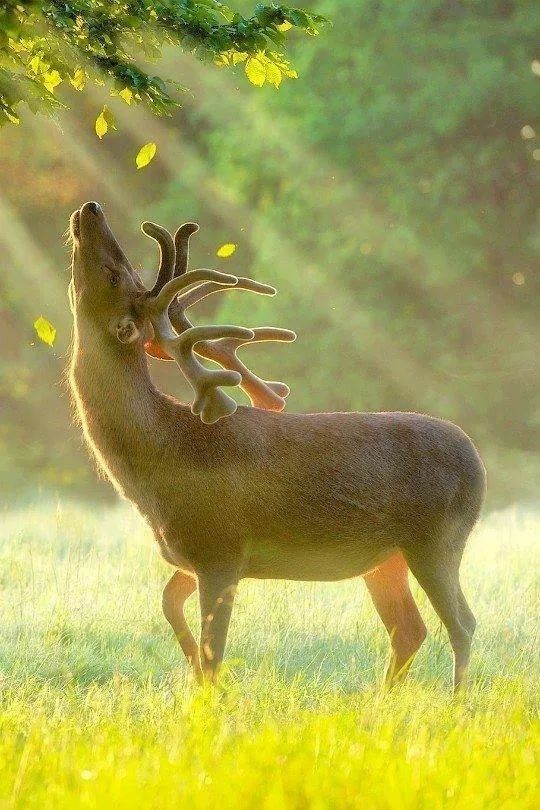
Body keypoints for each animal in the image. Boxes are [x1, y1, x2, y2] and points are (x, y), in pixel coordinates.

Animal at [67, 200, 486, 688]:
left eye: (117, 274)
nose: (91, 208)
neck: (161, 461)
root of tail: (477, 461)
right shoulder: (194, 556)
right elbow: (170, 606)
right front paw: (190, 668)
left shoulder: (221, 547)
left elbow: (214, 654)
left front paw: (207, 692)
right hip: (386, 558)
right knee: (409, 628)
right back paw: (381, 700)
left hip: (438, 540)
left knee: (462, 623)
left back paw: (456, 700)